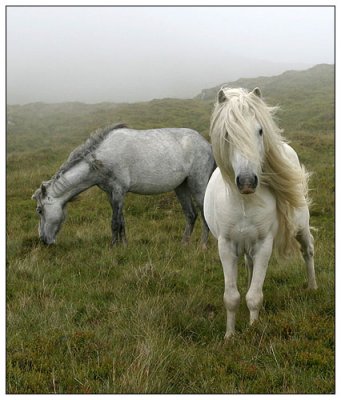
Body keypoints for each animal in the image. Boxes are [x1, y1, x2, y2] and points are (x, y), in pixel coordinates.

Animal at [31, 123, 214, 245]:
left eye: (40, 210)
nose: (43, 240)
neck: (101, 159)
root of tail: (207, 144)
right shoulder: (111, 193)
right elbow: (121, 220)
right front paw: (124, 245)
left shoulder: (119, 190)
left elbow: (115, 222)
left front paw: (114, 246)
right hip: (181, 187)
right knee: (190, 215)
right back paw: (184, 245)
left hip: (198, 184)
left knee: (203, 212)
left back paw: (202, 245)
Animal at [202, 87, 316, 340]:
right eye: (227, 134)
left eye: (260, 130)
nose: (246, 182)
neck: (245, 202)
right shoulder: (226, 246)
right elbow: (232, 297)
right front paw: (230, 336)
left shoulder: (265, 244)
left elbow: (254, 297)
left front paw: (254, 331)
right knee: (250, 267)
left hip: (300, 227)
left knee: (308, 251)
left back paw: (313, 287)